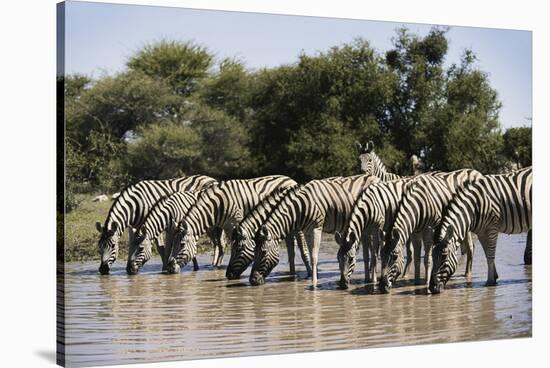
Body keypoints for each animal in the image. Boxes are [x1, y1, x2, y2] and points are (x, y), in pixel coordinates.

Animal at [166, 175, 300, 274]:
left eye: (182, 245)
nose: (170, 268)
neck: (218, 205)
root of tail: (291, 179)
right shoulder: (225, 226)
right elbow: (224, 245)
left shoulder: (235, 224)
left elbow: (232, 245)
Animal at [250, 175, 380, 288]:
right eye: (254, 252)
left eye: (263, 252)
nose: (252, 280)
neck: (301, 208)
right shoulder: (307, 231)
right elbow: (310, 254)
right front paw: (314, 277)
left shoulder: (316, 228)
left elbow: (314, 257)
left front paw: (314, 283)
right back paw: (369, 276)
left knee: (374, 250)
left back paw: (373, 279)